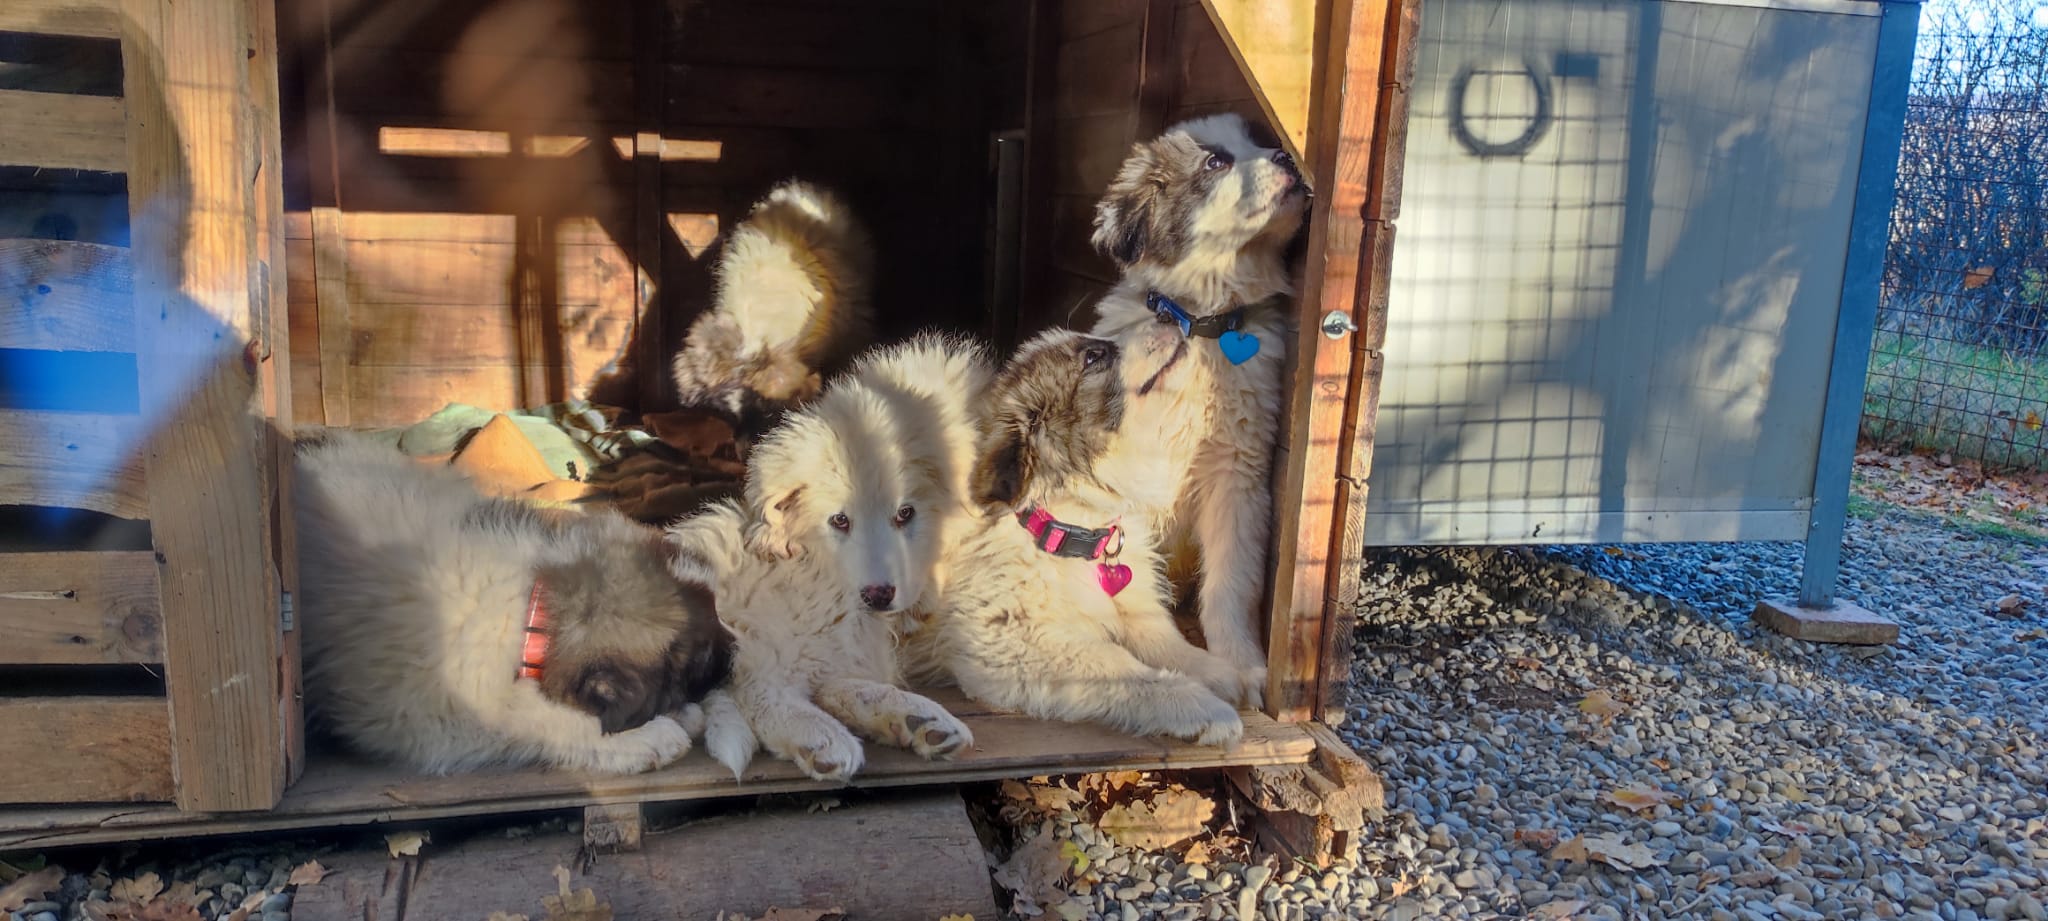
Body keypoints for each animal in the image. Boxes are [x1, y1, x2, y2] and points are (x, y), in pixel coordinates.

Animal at [293, 429, 732, 775]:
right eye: (703, 660)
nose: (733, 657)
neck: (531, 606)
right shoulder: (421, 715)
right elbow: (524, 713)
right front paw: (650, 737)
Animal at [666, 333, 990, 781]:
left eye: (905, 513)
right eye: (839, 520)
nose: (877, 595)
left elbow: (842, 683)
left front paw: (915, 719)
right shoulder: (770, 636)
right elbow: (762, 686)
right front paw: (822, 734)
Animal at [899, 328, 1245, 747]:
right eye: (1094, 357)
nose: (1171, 320)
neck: (1071, 526)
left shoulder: (1133, 606)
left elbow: (1163, 639)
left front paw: (1215, 673)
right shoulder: (1007, 641)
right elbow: (1116, 664)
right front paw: (1201, 708)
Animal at [1084, 113, 1311, 706]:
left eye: (1259, 140)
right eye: (1215, 161)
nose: (1288, 158)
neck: (1198, 325)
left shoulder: (1238, 479)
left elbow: (1232, 582)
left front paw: (1244, 665)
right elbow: (1137, 595)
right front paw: (1193, 668)